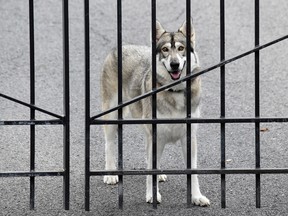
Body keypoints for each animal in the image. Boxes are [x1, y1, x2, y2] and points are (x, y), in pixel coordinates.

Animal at [100, 19, 210, 206]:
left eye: (181, 48)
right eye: (165, 49)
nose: (175, 64)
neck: (175, 92)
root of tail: (121, 47)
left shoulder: (188, 138)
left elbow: (192, 171)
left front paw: (196, 197)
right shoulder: (155, 136)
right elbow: (149, 168)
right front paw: (152, 195)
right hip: (113, 117)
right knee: (109, 144)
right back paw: (111, 174)